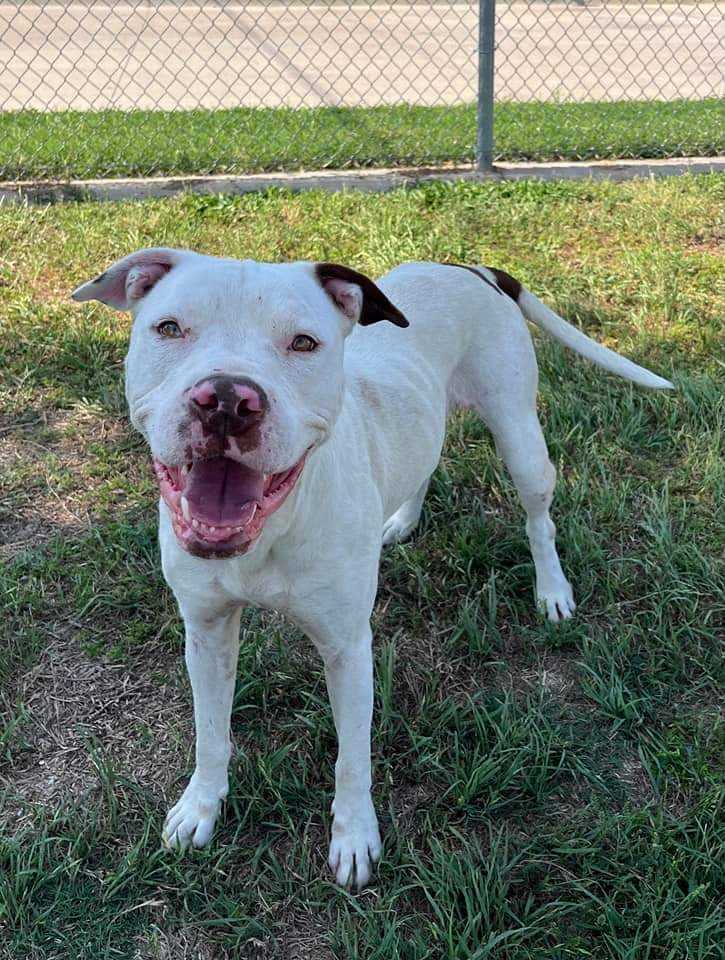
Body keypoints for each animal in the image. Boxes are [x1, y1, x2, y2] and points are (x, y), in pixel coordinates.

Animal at [70, 251, 672, 888]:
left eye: (304, 342)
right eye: (169, 328)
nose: (228, 400)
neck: (272, 530)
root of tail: (468, 265)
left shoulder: (348, 649)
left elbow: (351, 757)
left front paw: (354, 837)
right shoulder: (207, 633)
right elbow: (211, 734)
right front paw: (200, 809)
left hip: (520, 439)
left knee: (539, 520)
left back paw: (552, 589)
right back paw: (401, 520)